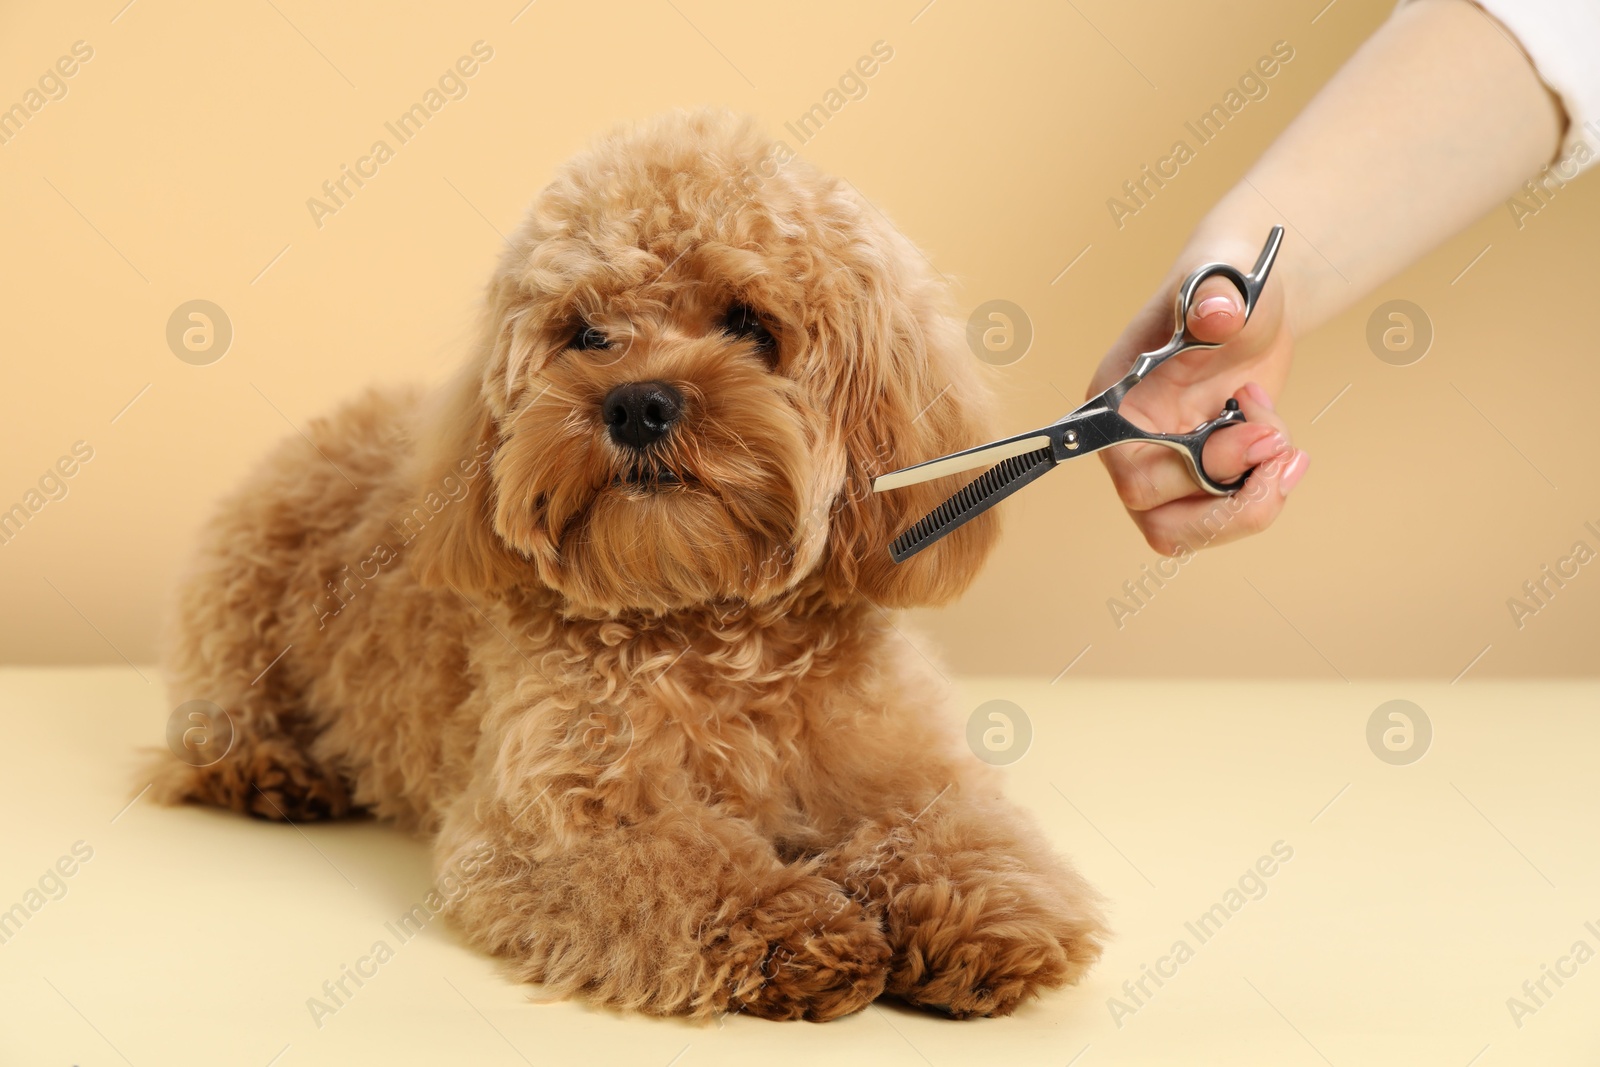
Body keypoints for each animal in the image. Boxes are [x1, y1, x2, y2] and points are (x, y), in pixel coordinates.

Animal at [152, 110, 1100, 1023]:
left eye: (748, 323)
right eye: (587, 334)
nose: (639, 402)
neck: (711, 625)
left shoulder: (903, 765)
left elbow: (957, 828)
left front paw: (990, 912)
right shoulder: (555, 820)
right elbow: (691, 863)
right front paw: (794, 925)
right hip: (238, 607)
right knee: (214, 725)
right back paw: (274, 772)